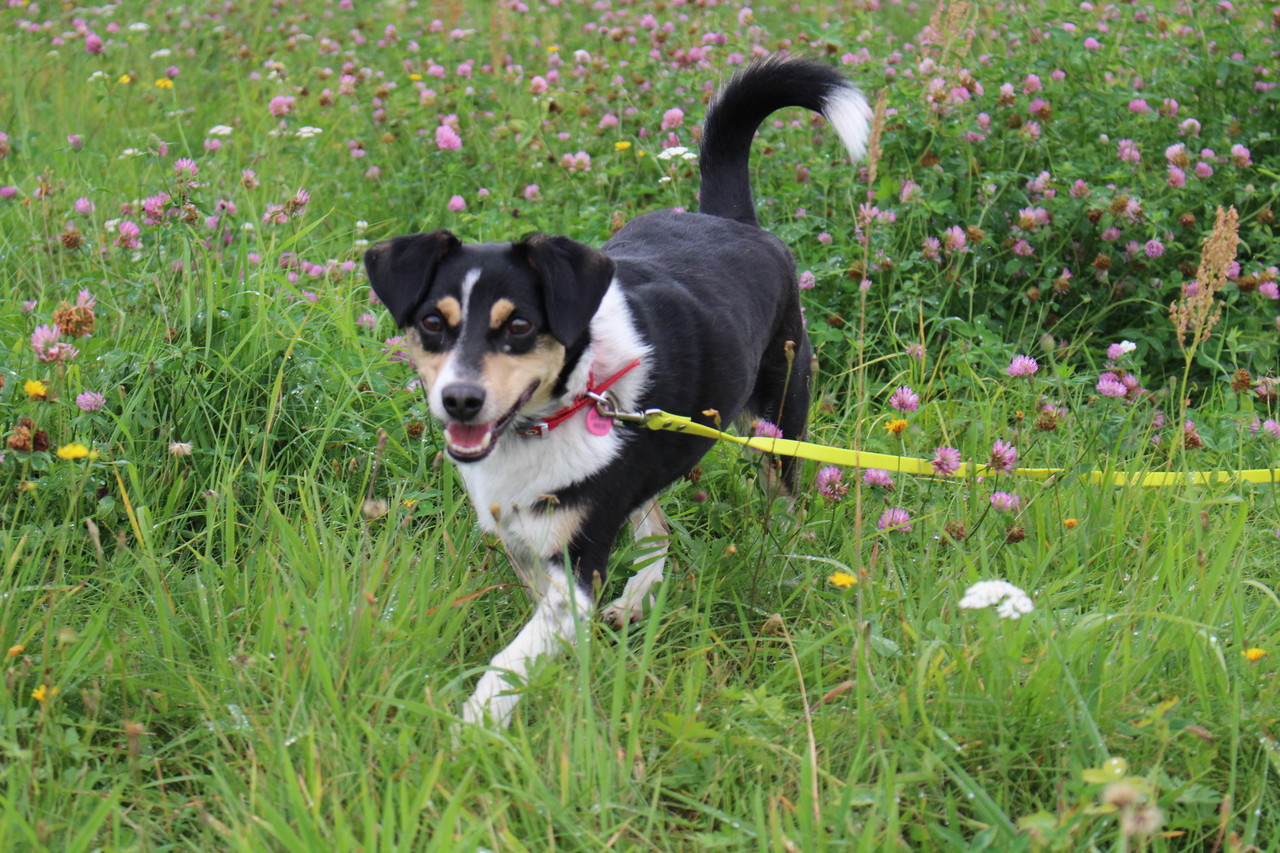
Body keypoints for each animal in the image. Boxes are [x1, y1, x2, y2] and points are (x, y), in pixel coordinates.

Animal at [364, 55, 870, 727]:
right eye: (431, 323)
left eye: (519, 326)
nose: (460, 401)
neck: (560, 411)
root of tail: (732, 220)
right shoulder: (527, 544)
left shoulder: (576, 567)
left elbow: (509, 661)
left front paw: (473, 729)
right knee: (656, 531)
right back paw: (637, 598)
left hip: (780, 416)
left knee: (783, 500)